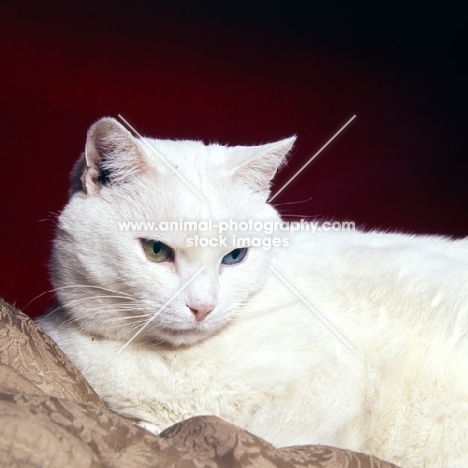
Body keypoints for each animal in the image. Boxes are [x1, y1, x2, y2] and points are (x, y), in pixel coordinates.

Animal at [37, 118, 468, 468]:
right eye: (156, 250)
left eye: (235, 256)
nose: (202, 307)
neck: (172, 364)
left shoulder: (328, 396)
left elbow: (259, 438)